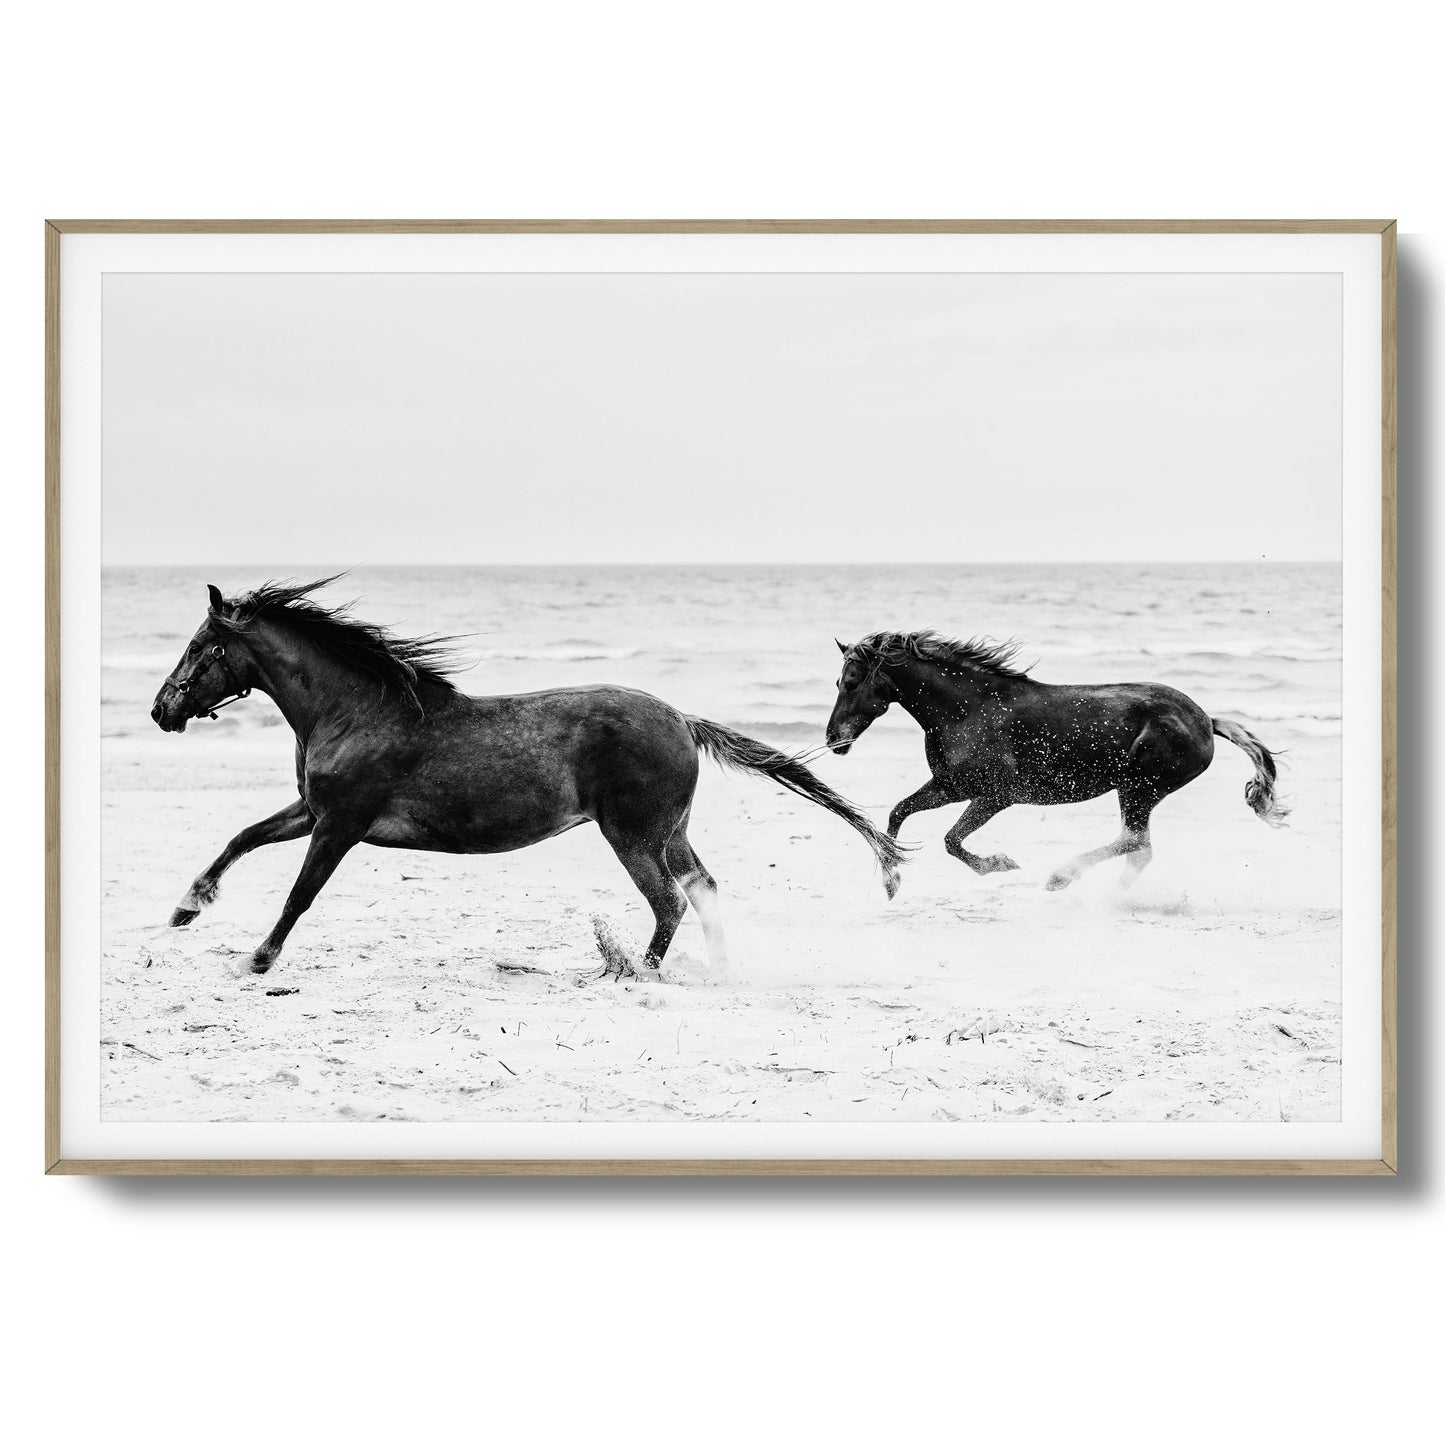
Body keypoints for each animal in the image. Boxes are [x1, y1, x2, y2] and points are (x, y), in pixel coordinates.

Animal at [150, 578, 906, 981]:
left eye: (199, 646)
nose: (161, 710)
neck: (357, 711)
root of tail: (683, 720)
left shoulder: (340, 825)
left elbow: (299, 895)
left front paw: (257, 959)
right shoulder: (313, 812)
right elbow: (241, 837)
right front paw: (185, 909)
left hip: (631, 835)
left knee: (669, 902)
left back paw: (638, 974)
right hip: (670, 832)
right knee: (703, 890)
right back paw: (716, 971)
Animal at [824, 630, 1287, 892]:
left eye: (852, 681)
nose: (832, 740)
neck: (967, 710)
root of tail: (1206, 721)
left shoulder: (995, 795)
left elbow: (951, 840)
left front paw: (1000, 865)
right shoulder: (952, 786)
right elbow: (898, 813)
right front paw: (891, 880)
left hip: (1139, 788)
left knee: (1135, 844)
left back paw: (1063, 880)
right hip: (1137, 792)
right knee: (1138, 849)